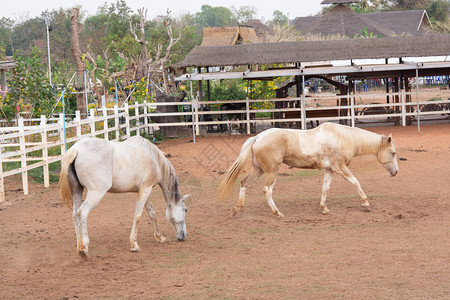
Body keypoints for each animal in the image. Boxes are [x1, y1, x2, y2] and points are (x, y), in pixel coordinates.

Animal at [59, 137, 189, 256]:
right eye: (185, 210)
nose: (183, 236)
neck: (153, 157)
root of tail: (76, 149)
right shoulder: (145, 189)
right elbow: (138, 216)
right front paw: (134, 244)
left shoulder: (144, 190)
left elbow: (152, 213)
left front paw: (160, 237)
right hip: (96, 193)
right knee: (83, 212)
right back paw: (84, 249)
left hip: (77, 191)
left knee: (75, 214)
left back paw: (79, 246)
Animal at [220, 123, 400, 217]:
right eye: (393, 153)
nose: (395, 172)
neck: (343, 138)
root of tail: (257, 137)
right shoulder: (340, 168)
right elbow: (356, 182)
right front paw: (365, 203)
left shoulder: (330, 170)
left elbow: (325, 189)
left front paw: (324, 208)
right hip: (272, 171)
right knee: (267, 190)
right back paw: (277, 213)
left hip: (259, 170)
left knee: (244, 183)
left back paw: (237, 209)